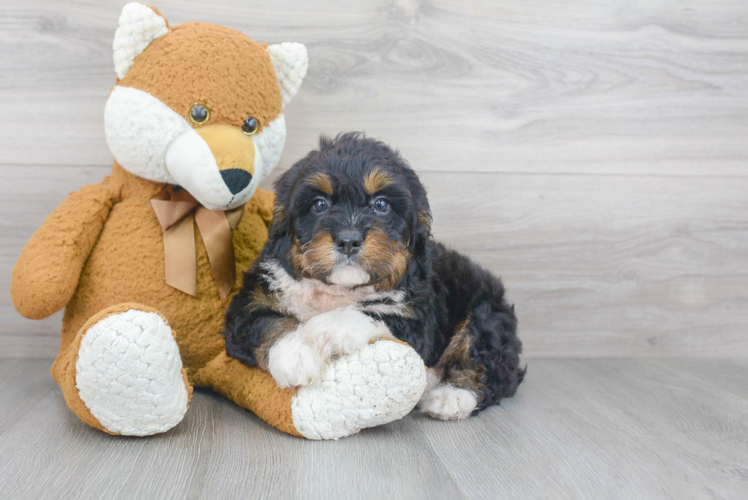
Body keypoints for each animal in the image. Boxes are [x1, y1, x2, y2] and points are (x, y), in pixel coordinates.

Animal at [225, 134, 524, 422]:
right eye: (319, 204)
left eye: (381, 204)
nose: (348, 240)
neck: (339, 289)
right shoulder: (249, 303)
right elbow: (267, 322)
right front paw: (295, 353)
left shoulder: (417, 317)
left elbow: (374, 312)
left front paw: (327, 327)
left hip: (487, 314)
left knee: (491, 364)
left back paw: (452, 396)